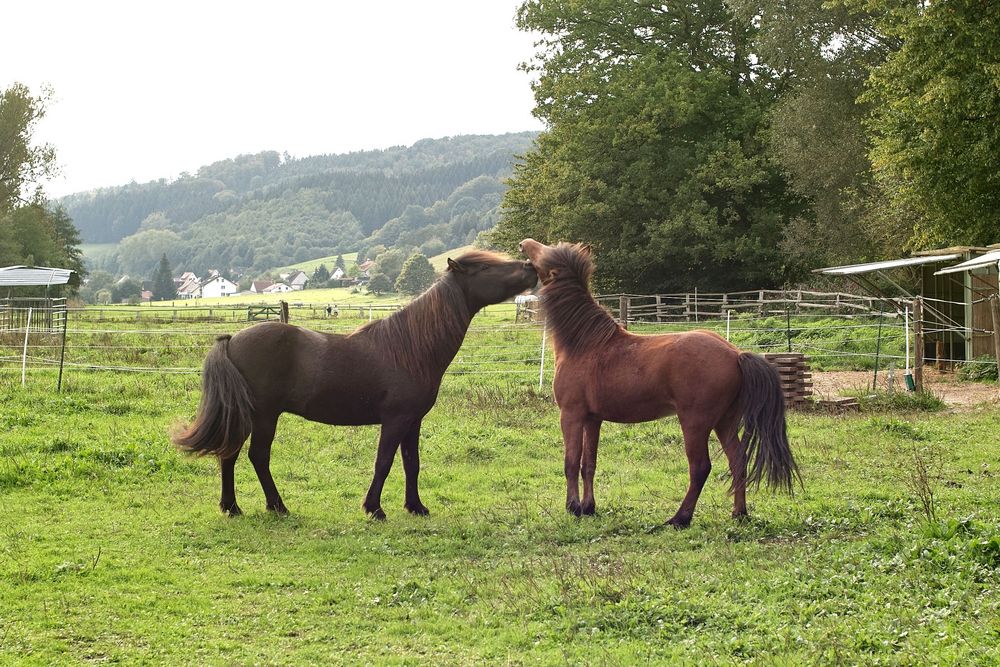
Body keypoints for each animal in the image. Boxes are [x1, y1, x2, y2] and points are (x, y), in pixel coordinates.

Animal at [170, 250, 540, 516]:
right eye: (485, 268)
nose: (531, 266)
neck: (410, 347)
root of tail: (232, 340)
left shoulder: (413, 422)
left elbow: (412, 464)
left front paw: (415, 507)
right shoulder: (395, 420)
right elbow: (384, 463)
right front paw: (374, 508)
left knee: (231, 454)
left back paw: (232, 507)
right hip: (263, 416)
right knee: (256, 456)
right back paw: (276, 506)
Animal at [520, 240, 800, 528]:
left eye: (545, 254)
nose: (524, 244)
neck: (585, 343)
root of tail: (735, 353)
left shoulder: (572, 415)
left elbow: (571, 462)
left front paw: (573, 507)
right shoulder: (592, 419)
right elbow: (589, 464)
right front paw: (588, 507)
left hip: (695, 423)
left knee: (700, 467)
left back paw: (680, 518)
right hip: (725, 422)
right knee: (738, 460)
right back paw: (739, 513)